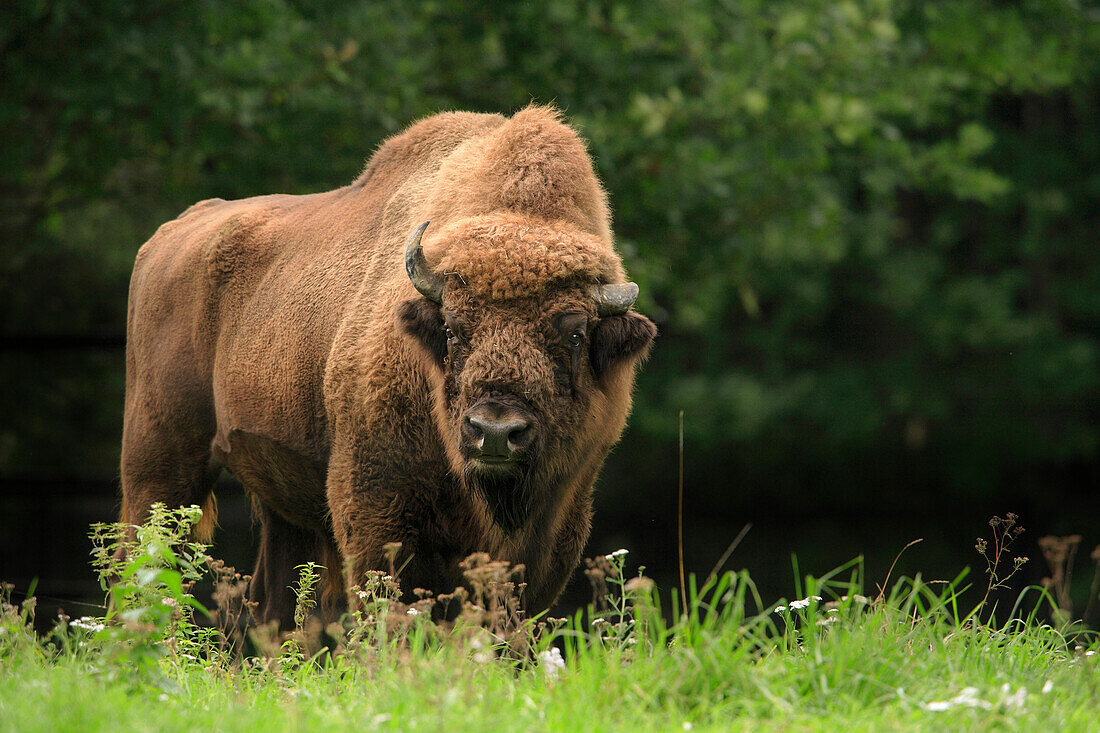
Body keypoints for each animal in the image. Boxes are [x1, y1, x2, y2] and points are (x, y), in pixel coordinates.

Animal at [120, 105, 651, 625]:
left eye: (576, 334)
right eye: (452, 328)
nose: (495, 432)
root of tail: (165, 239)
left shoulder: (556, 529)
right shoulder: (377, 511)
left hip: (279, 499)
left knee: (272, 601)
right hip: (161, 466)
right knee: (139, 563)